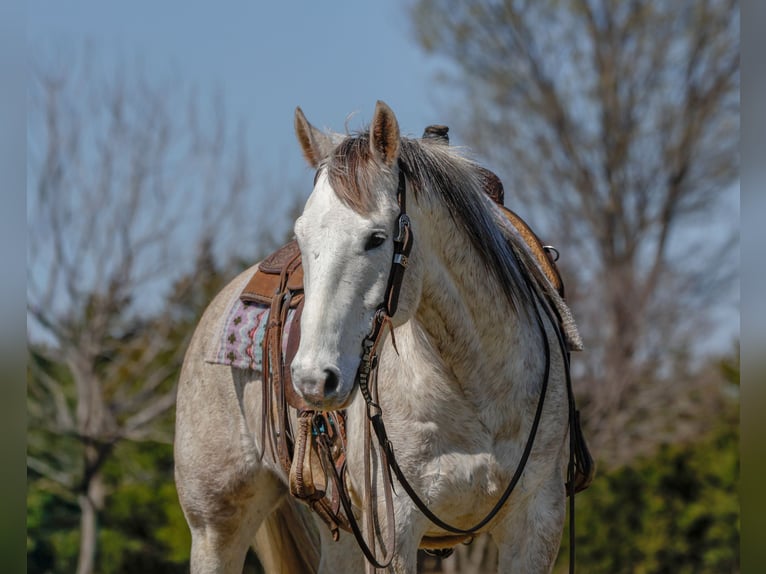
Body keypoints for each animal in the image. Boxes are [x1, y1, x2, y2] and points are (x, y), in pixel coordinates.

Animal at [174, 101, 586, 573]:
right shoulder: (394, 530)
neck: (477, 389)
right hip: (215, 523)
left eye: (376, 238)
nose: (313, 380)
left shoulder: (536, 524)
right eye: (301, 235)